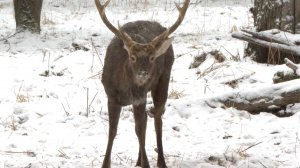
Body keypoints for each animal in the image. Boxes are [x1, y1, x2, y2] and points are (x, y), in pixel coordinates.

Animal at [94, 0, 190, 167]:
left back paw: (160, 161)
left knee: (157, 120)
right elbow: (113, 130)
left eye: (152, 58)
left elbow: (139, 130)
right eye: (132, 57)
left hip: (163, 80)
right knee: (145, 120)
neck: (124, 90)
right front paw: (105, 163)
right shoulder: (111, 97)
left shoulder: (139, 98)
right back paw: (139, 160)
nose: (143, 74)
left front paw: (146, 164)